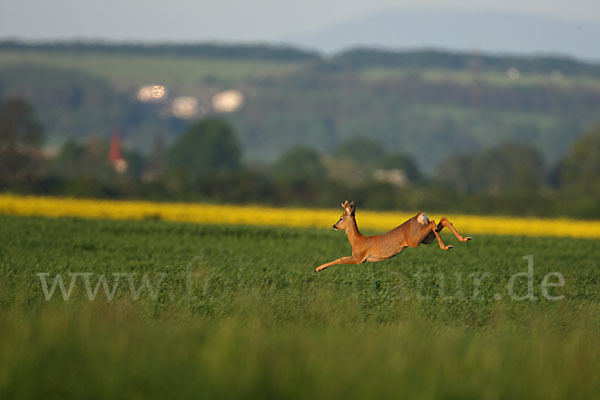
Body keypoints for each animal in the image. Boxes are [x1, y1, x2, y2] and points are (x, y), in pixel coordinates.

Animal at [316, 200, 472, 272]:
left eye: (341, 218)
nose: (334, 226)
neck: (357, 241)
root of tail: (420, 216)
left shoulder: (359, 258)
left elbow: (340, 258)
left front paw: (318, 268)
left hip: (414, 239)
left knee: (433, 223)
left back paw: (446, 246)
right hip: (425, 239)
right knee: (441, 221)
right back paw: (463, 239)